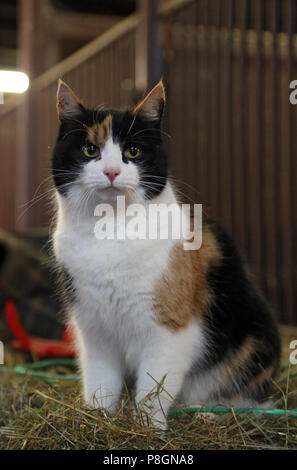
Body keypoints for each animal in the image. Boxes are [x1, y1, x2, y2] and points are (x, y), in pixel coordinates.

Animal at [52, 79, 280, 428]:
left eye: (132, 151)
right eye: (90, 149)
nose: (112, 172)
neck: (108, 231)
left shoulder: (171, 331)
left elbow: (154, 386)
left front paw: (147, 428)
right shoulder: (94, 328)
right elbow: (100, 381)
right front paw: (97, 418)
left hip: (253, 344)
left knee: (252, 402)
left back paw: (210, 414)